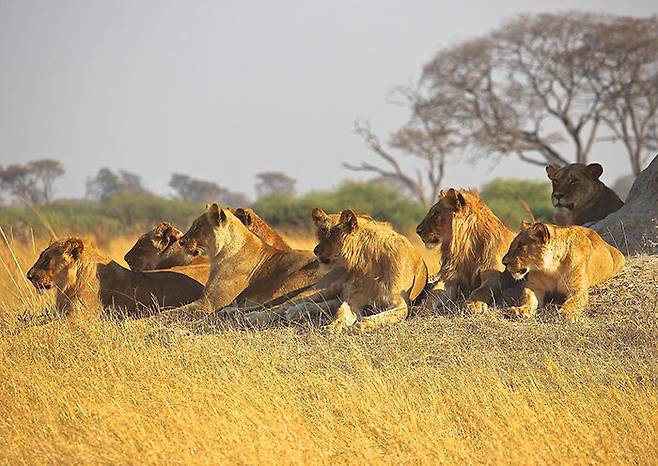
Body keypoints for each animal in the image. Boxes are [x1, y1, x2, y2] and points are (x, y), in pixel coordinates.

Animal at [158, 204, 324, 320]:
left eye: (197, 227)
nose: (181, 242)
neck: (219, 255)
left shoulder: (208, 303)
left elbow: (170, 312)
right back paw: (229, 311)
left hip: (287, 284)